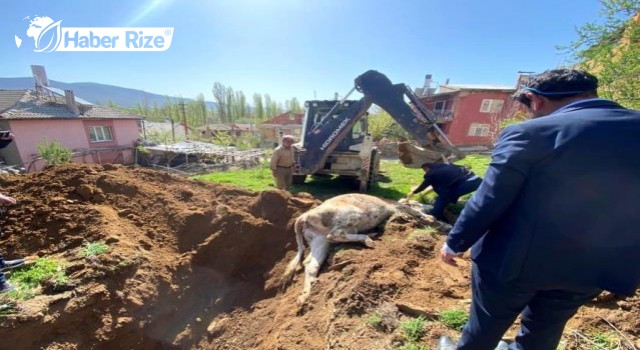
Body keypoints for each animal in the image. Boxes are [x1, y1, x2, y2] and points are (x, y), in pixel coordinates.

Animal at [282, 193, 442, 304]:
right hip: (349, 216)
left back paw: (305, 295)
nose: (431, 206)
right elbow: (413, 211)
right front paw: (431, 218)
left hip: (319, 240)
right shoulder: (397, 206)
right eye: (417, 202)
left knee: (311, 264)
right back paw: (368, 238)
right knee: (335, 235)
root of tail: (304, 215)